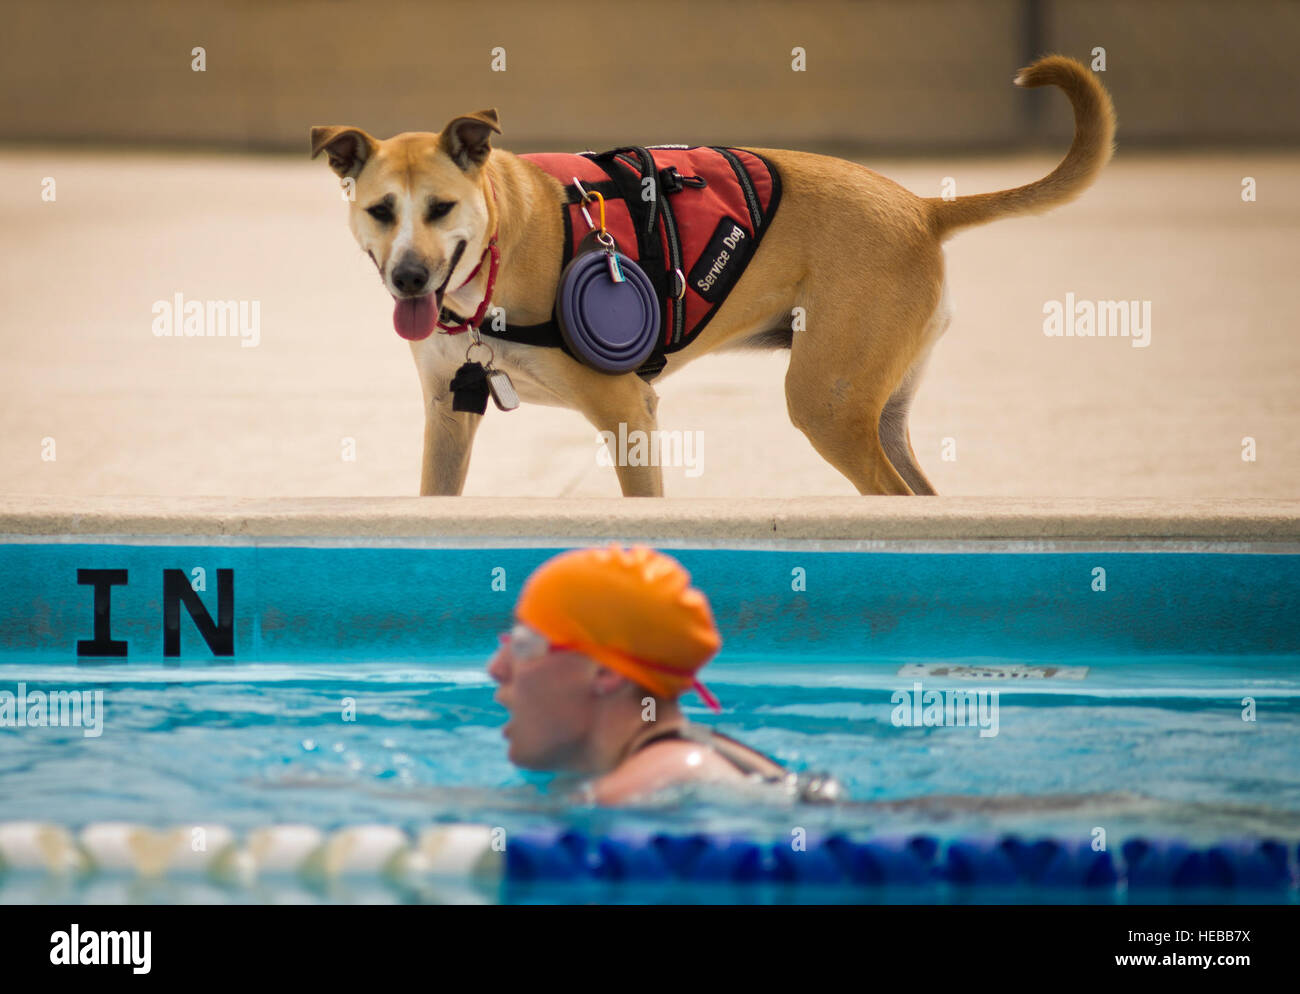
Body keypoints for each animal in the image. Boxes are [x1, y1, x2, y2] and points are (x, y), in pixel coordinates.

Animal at [309, 52, 1112, 493]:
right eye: (381, 211)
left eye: (441, 208)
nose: (410, 279)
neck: (499, 243)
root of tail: (921, 207)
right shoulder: (447, 418)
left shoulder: (629, 418)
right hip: (876, 410)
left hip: (827, 405)